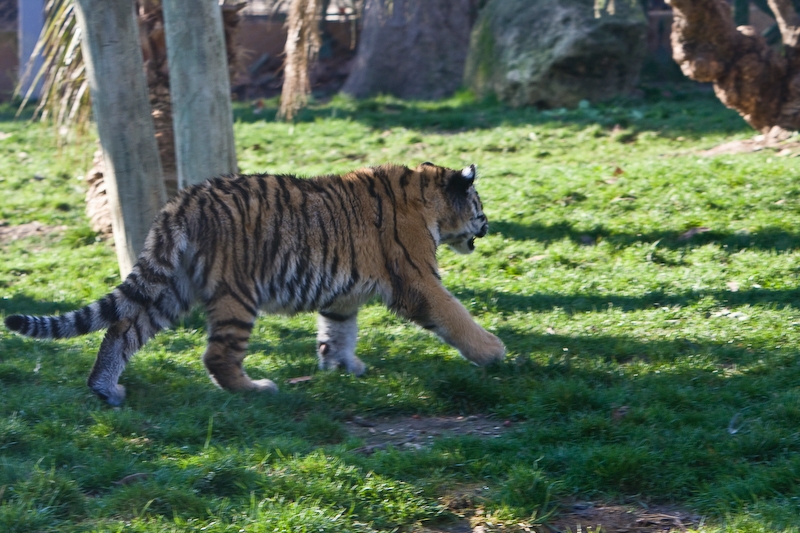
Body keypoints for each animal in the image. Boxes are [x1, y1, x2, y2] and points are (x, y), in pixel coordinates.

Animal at [4, 162, 505, 406]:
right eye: (480, 205)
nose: (488, 226)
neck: (429, 200)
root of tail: (182, 202)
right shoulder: (418, 279)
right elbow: (454, 314)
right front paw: (494, 353)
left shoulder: (343, 296)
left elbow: (338, 330)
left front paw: (343, 366)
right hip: (237, 296)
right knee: (217, 355)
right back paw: (256, 390)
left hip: (170, 290)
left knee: (121, 330)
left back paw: (106, 391)